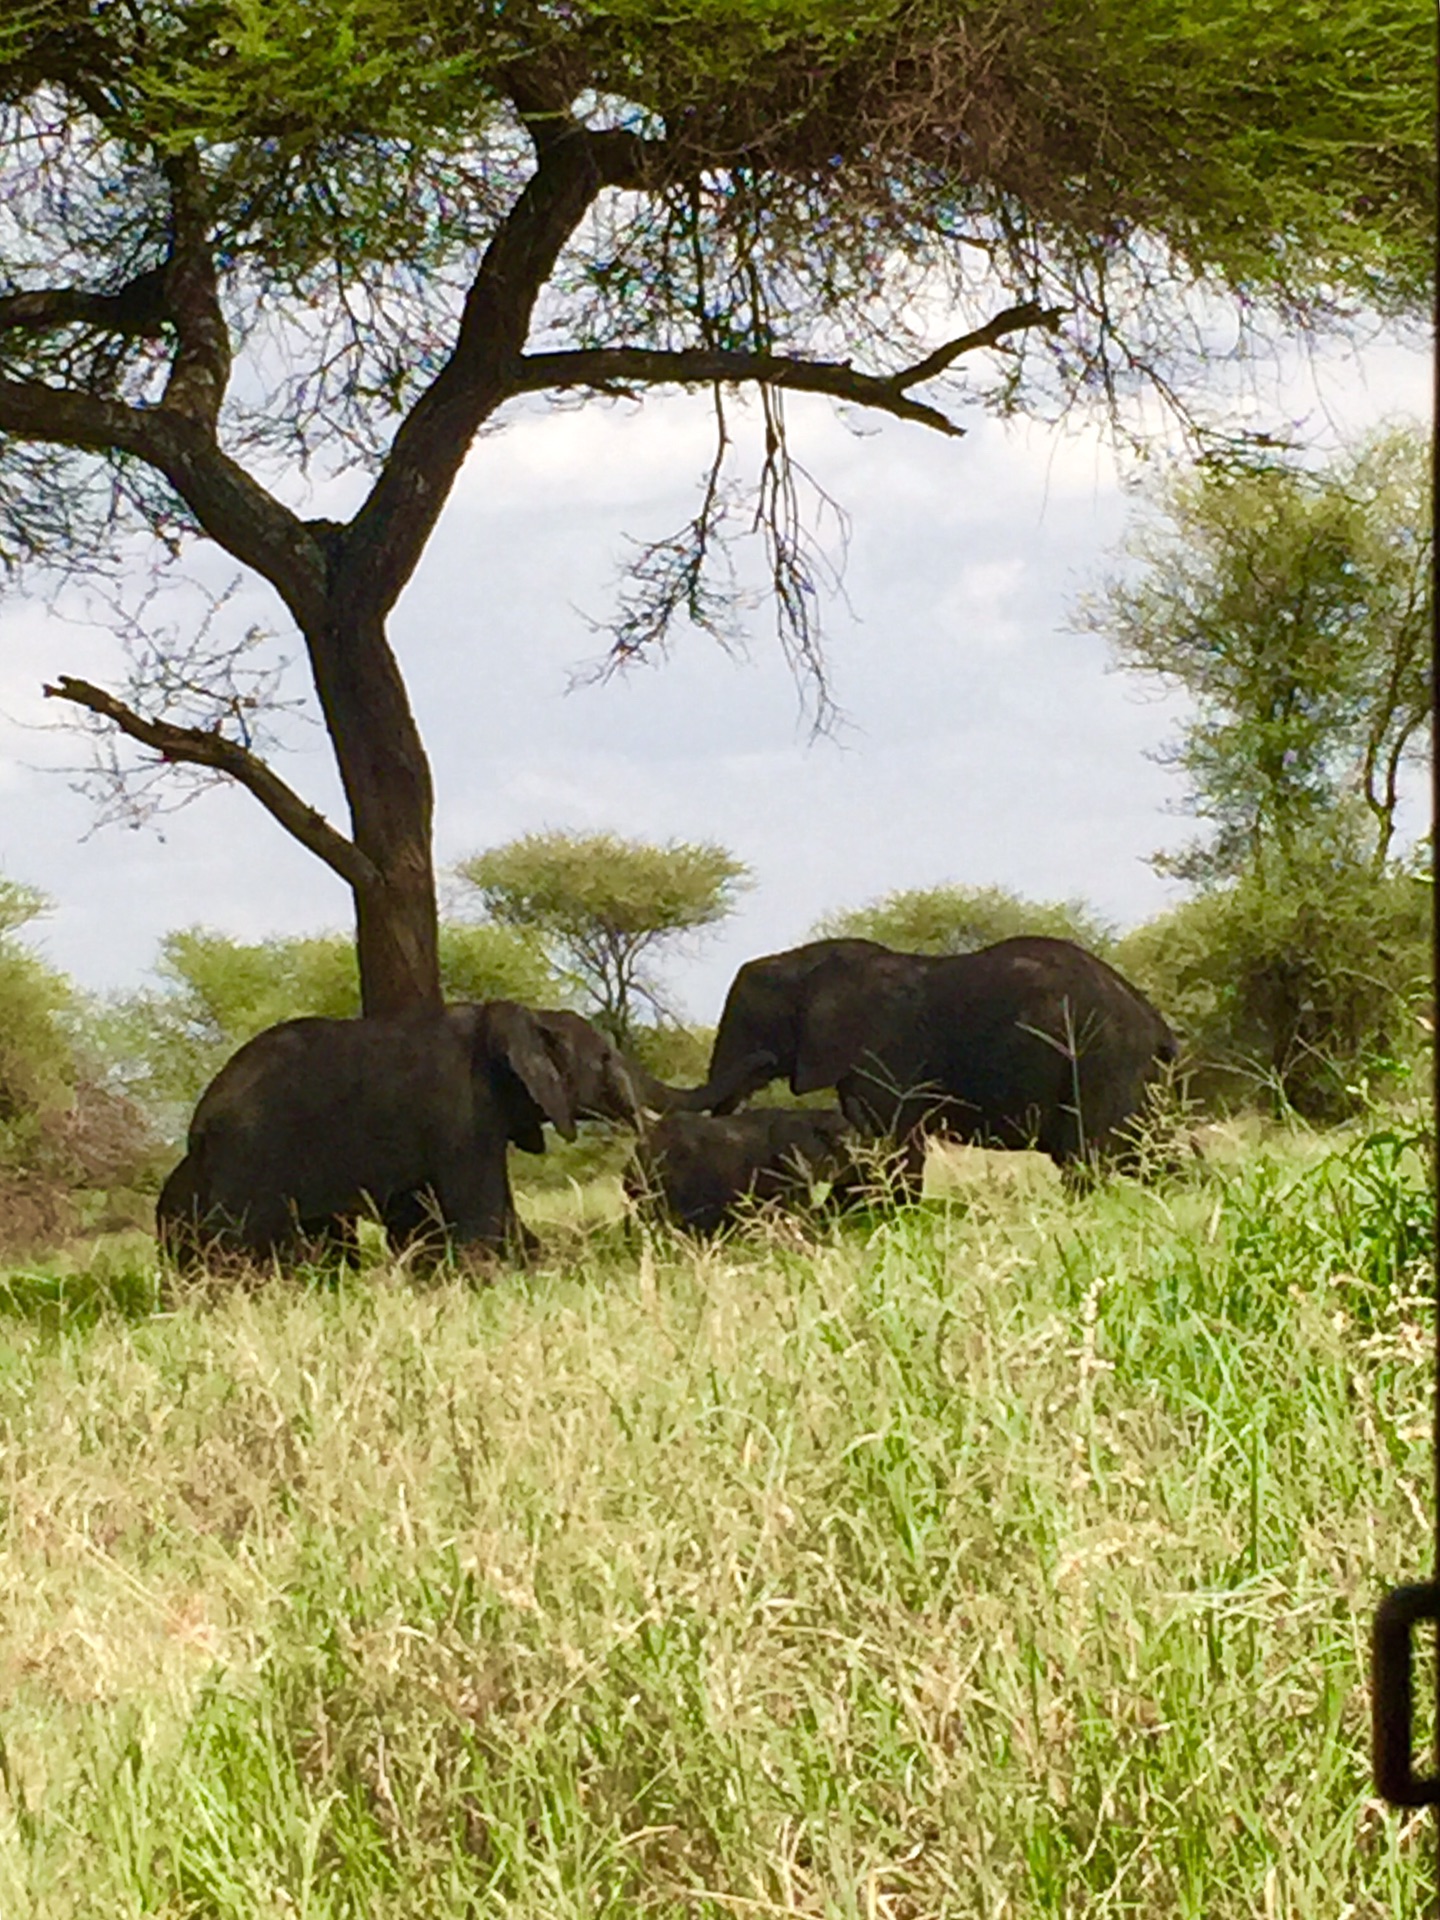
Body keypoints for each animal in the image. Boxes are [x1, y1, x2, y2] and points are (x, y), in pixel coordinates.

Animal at [156, 998, 748, 1267]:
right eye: (603, 1057)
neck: (515, 1016)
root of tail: (197, 1125)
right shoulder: (461, 1110)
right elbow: (478, 1207)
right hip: (251, 1155)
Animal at [691, 933, 1182, 1175]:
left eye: (752, 1024)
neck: (804, 964)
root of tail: (1155, 1022)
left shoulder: (886, 1053)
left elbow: (897, 1142)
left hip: (1102, 1059)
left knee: (1089, 1157)